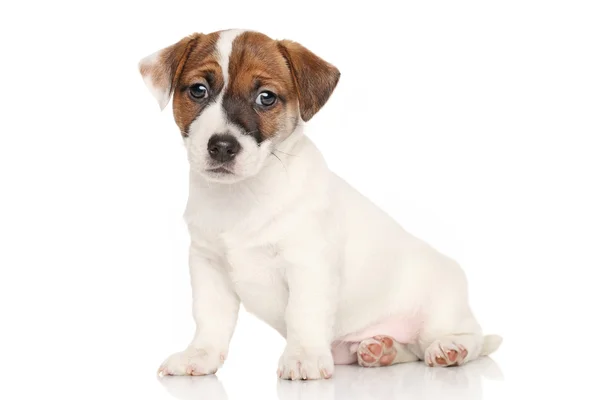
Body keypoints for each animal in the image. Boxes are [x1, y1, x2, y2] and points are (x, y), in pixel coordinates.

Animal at [139, 28, 502, 382]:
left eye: (266, 97)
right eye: (198, 90)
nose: (222, 147)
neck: (244, 195)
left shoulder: (308, 263)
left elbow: (303, 312)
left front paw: (303, 357)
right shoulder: (208, 266)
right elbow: (209, 319)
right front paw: (199, 356)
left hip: (442, 310)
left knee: (468, 338)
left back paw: (449, 349)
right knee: (407, 350)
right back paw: (380, 349)